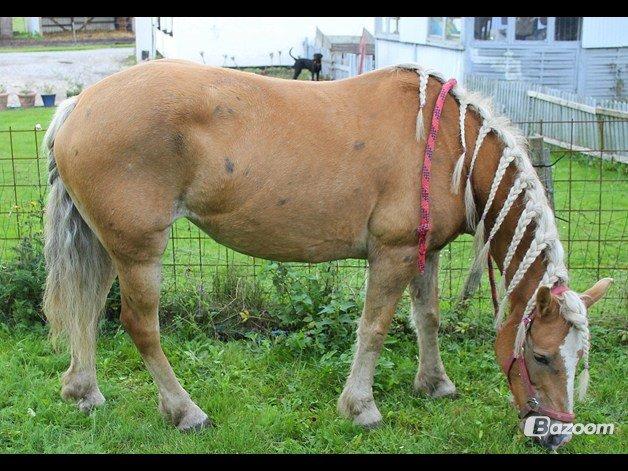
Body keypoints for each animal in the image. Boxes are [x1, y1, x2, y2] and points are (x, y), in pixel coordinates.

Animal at [41, 60, 612, 452]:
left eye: (579, 358)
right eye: (541, 355)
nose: (555, 434)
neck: (452, 147)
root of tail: (80, 104)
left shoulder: (424, 254)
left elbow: (426, 318)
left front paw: (435, 384)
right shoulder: (393, 254)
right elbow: (375, 329)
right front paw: (361, 407)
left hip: (106, 246)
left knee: (86, 311)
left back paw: (83, 391)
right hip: (140, 252)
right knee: (140, 326)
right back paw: (185, 411)